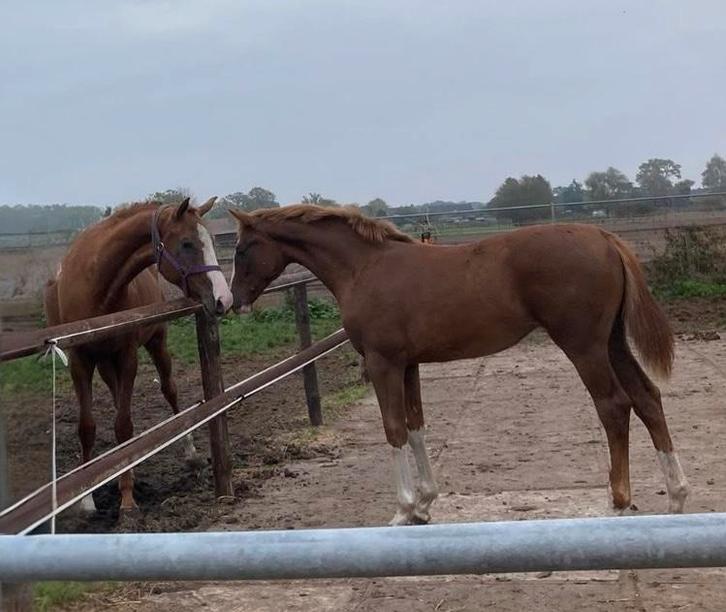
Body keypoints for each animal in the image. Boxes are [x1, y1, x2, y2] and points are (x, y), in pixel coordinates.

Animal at [44, 197, 232, 514]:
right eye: (186, 244)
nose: (223, 299)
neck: (95, 288)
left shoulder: (128, 356)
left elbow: (124, 426)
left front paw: (127, 498)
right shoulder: (79, 362)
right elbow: (87, 427)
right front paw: (86, 499)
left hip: (156, 345)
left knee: (170, 391)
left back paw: (190, 454)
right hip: (105, 364)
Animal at [227, 204, 688, 526]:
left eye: (243, 248)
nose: (232, 303)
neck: (365, 268)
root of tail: (604, 237)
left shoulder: (382, 363)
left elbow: (393, 429)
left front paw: (403, 509)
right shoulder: (407, 364)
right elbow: (415, 425)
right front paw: (425, 504)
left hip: (584, 345)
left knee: (614, 405)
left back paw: (620, 500)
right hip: (612, 342)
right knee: (648, 398)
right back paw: (677, 494)